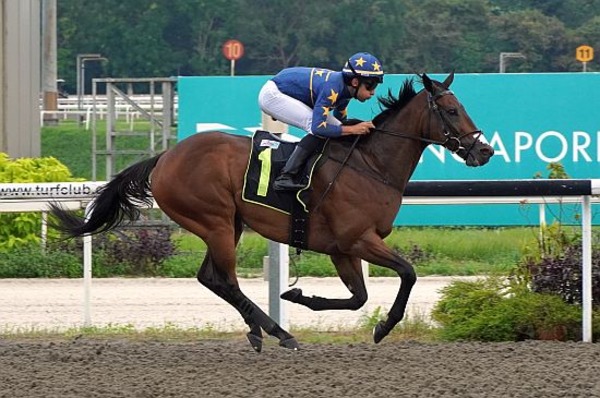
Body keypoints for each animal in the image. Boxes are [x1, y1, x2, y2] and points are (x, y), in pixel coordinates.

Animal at [50, 72, 492, 352]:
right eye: (452, 110)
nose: (484, 150)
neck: (371, 166)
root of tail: (165, 157)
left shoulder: (342, 248)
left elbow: (359, 297)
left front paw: (300, 295)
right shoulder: (357, 239)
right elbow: (407, 273)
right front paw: (383, 327)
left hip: (228, 224)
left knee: (210, 278)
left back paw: (260, 330)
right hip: (214, 221)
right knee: (226, 280)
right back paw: (279, 332)